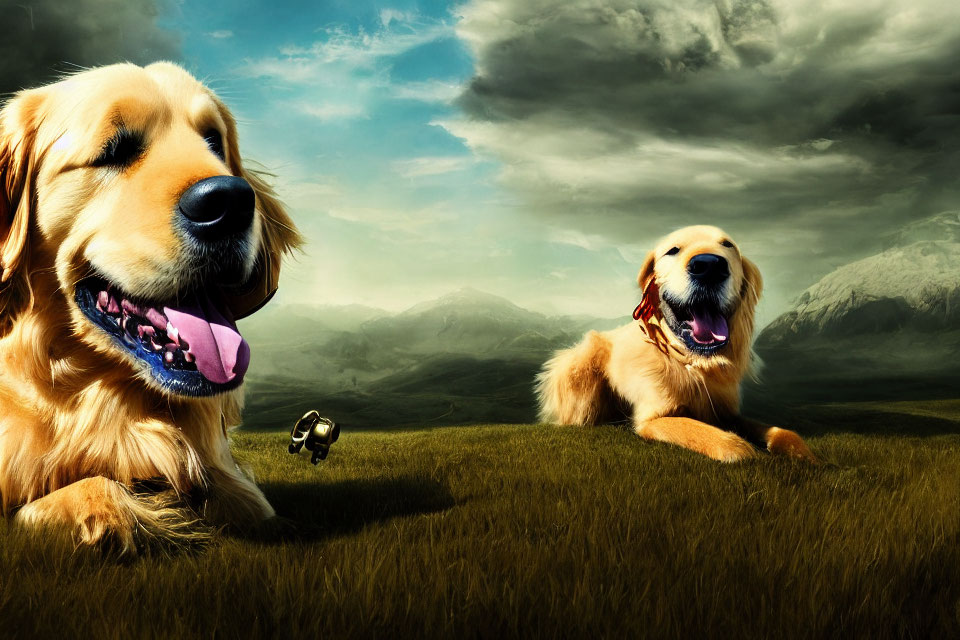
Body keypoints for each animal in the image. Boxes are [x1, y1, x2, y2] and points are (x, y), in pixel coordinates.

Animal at [536, 228, 812, 462]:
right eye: (672, 250)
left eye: (728, 245)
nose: (709, 266)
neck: (692, 362)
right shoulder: (653, 417)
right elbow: (724, 443)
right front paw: (746, 450)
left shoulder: (725, 411)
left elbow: (780, 431)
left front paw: (800, 451)